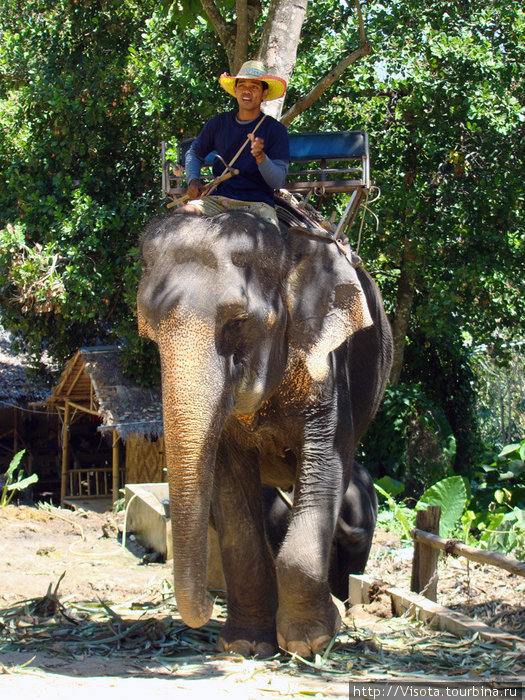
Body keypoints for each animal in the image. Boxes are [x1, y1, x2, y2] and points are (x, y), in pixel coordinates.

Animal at [137, 211, 390, 660]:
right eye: (150, 329)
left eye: (238, 322)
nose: (206, 604)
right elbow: (233, 500)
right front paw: (245, 645)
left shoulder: (327, 366)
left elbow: (325, 463)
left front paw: (312, 640)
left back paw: (346, 607)